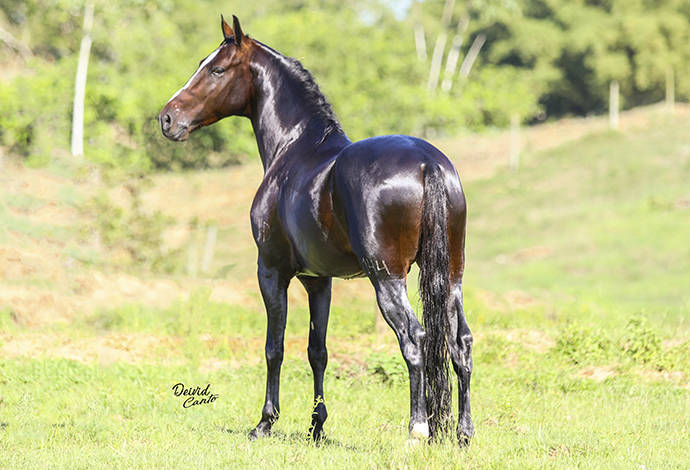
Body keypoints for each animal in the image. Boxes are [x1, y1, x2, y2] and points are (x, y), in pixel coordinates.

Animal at [158, 14, 470, 444]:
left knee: (415, 339)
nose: (167, 119)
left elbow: (274, 347)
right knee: (460, 343)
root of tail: (428, 162)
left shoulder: (272, 272)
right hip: (451, 277)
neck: (295, 148)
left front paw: (265, 423)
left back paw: (417, 430)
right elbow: (316, 350)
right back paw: (463, 434)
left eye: (216, 69)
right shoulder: (319, 281)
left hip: (388, 279)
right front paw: (317, 427)